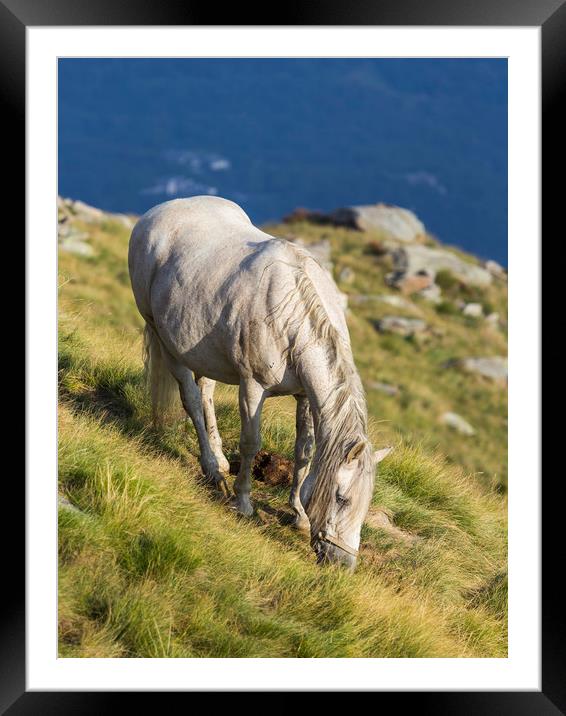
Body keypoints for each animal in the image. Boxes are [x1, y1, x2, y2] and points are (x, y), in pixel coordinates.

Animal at [129, 197, 392, 572]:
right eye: (341, 498)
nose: (343, 563)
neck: (291, 312)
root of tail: (157, 213)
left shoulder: (304, 396)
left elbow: (304, 451)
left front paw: (298, 514)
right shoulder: (252, 386)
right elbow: (251, 442)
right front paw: (243, 502)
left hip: (203, 350)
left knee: (205, 393)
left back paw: (219, 460)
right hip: (164, 338)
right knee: (191, 397)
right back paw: (213, 471)